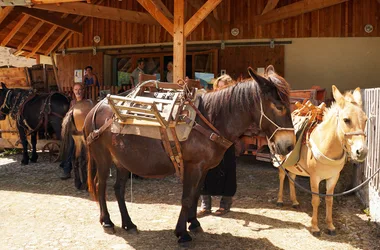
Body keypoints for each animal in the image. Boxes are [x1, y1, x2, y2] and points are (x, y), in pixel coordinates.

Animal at [84, 65, 296, 245]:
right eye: (278, 106)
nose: (289, 145)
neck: (208, 119)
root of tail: (95, 107)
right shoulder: (192, 166)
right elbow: (186, 198)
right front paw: (182, 234)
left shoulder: (203, 168)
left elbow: (195, 194)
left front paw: (193, 223)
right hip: (103, 159)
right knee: (100, 186)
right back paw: (107, 222)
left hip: (122, 161)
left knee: (118, 189)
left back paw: (129, 224)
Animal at [276, 85, 368, 236]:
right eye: (346, 120)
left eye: (366, 120)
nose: (361, 151)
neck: (326, 146)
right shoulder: (315, 178)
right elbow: (316, 200)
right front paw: (315, 227)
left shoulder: (333, 177)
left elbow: (329, 200)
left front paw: (330, 226)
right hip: (281, 162)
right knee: (282, 176)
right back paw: (279, 200)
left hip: (294, 165)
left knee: (292, 179)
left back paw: (294, 202)